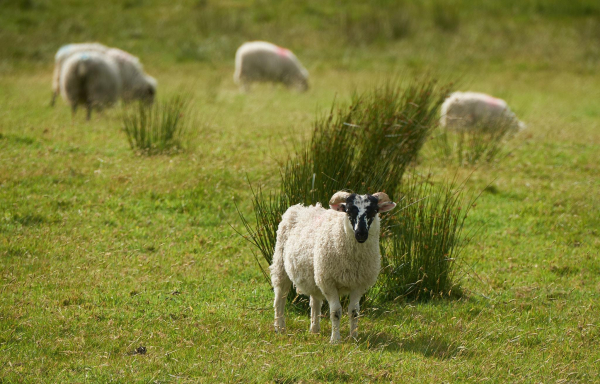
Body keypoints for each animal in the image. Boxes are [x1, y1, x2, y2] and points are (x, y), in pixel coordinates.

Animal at [270, 190, 396, 344]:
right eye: (349, 211)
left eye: (373, 211)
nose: (361, 234)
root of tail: (300, 207)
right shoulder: (328, 282)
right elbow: (336, 312)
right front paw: (335, 340)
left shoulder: (359, 284)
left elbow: (354, 312)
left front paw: (354, 337)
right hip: (281, 266)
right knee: (279, 299)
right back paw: (280, 328)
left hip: (314, 274)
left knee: (315, 301)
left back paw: (314, 329)